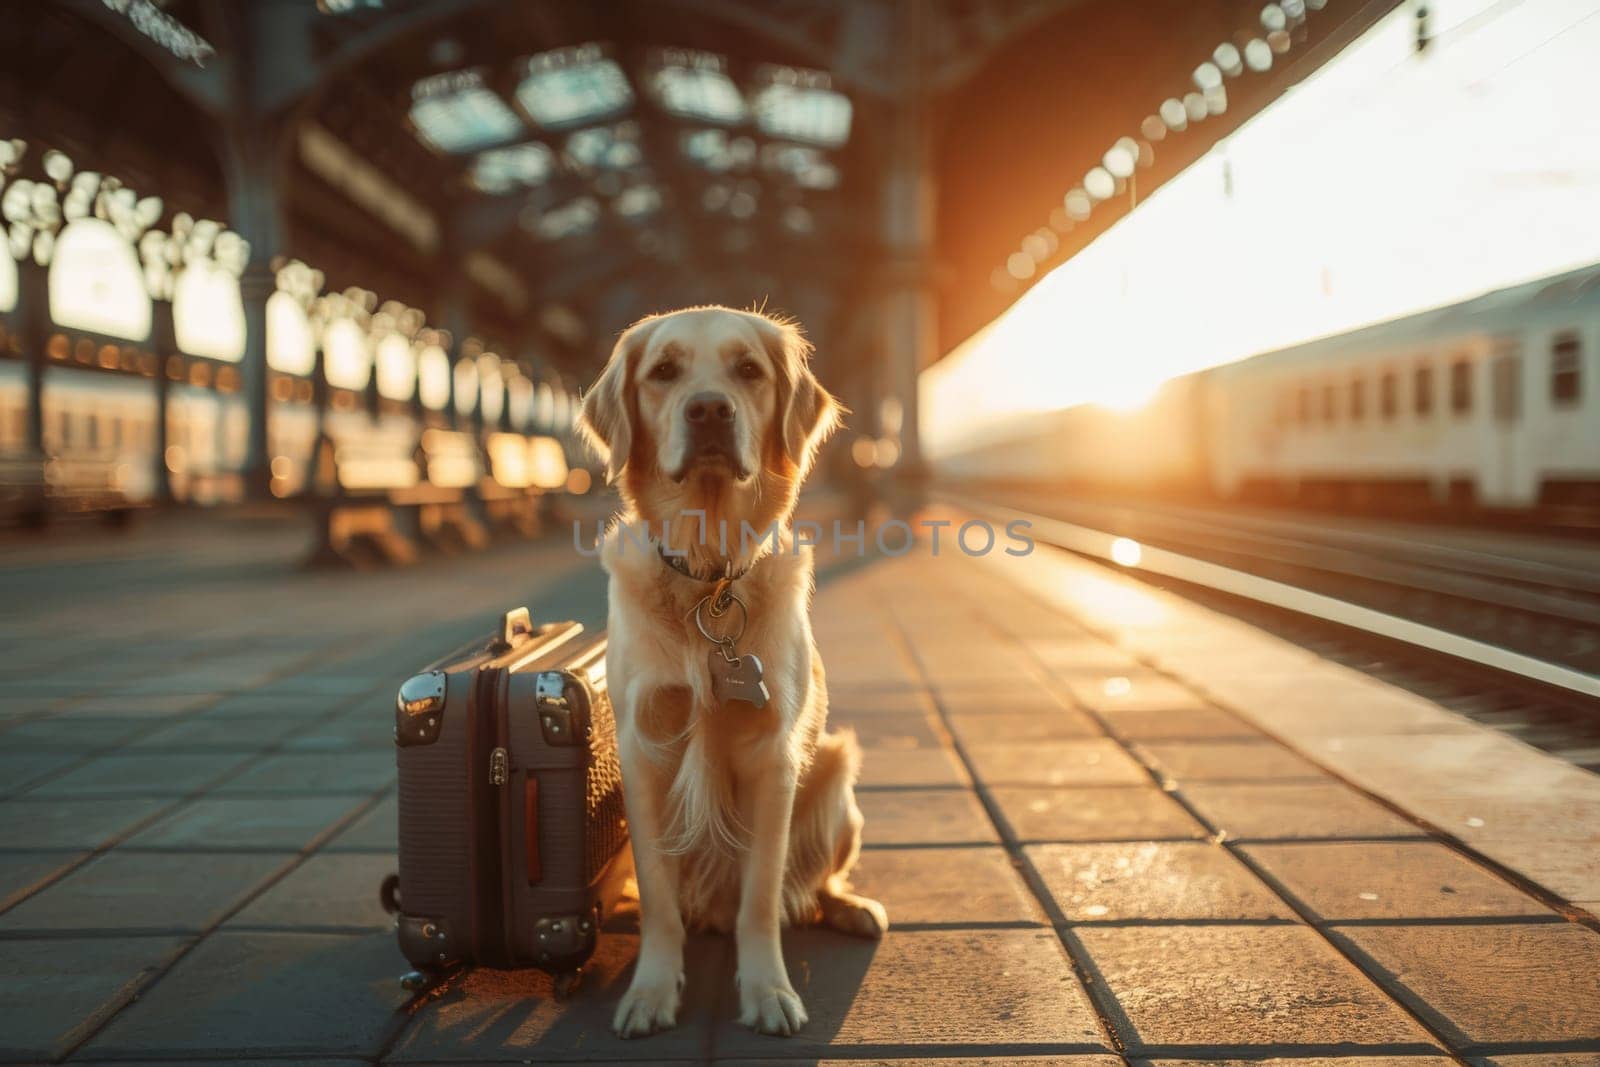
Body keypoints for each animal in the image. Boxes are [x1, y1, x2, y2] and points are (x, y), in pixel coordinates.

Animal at [582, 307, 889, 1036]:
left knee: (811, 885)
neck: (709, 578)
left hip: (836, 777)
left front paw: (768, 991)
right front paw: (651, 990)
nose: (709, 410)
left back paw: (852, 908)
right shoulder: (645, 750)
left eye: (748, 369)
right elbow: (660, 899)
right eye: (664, 370)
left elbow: (761, 896)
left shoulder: (771, 756)